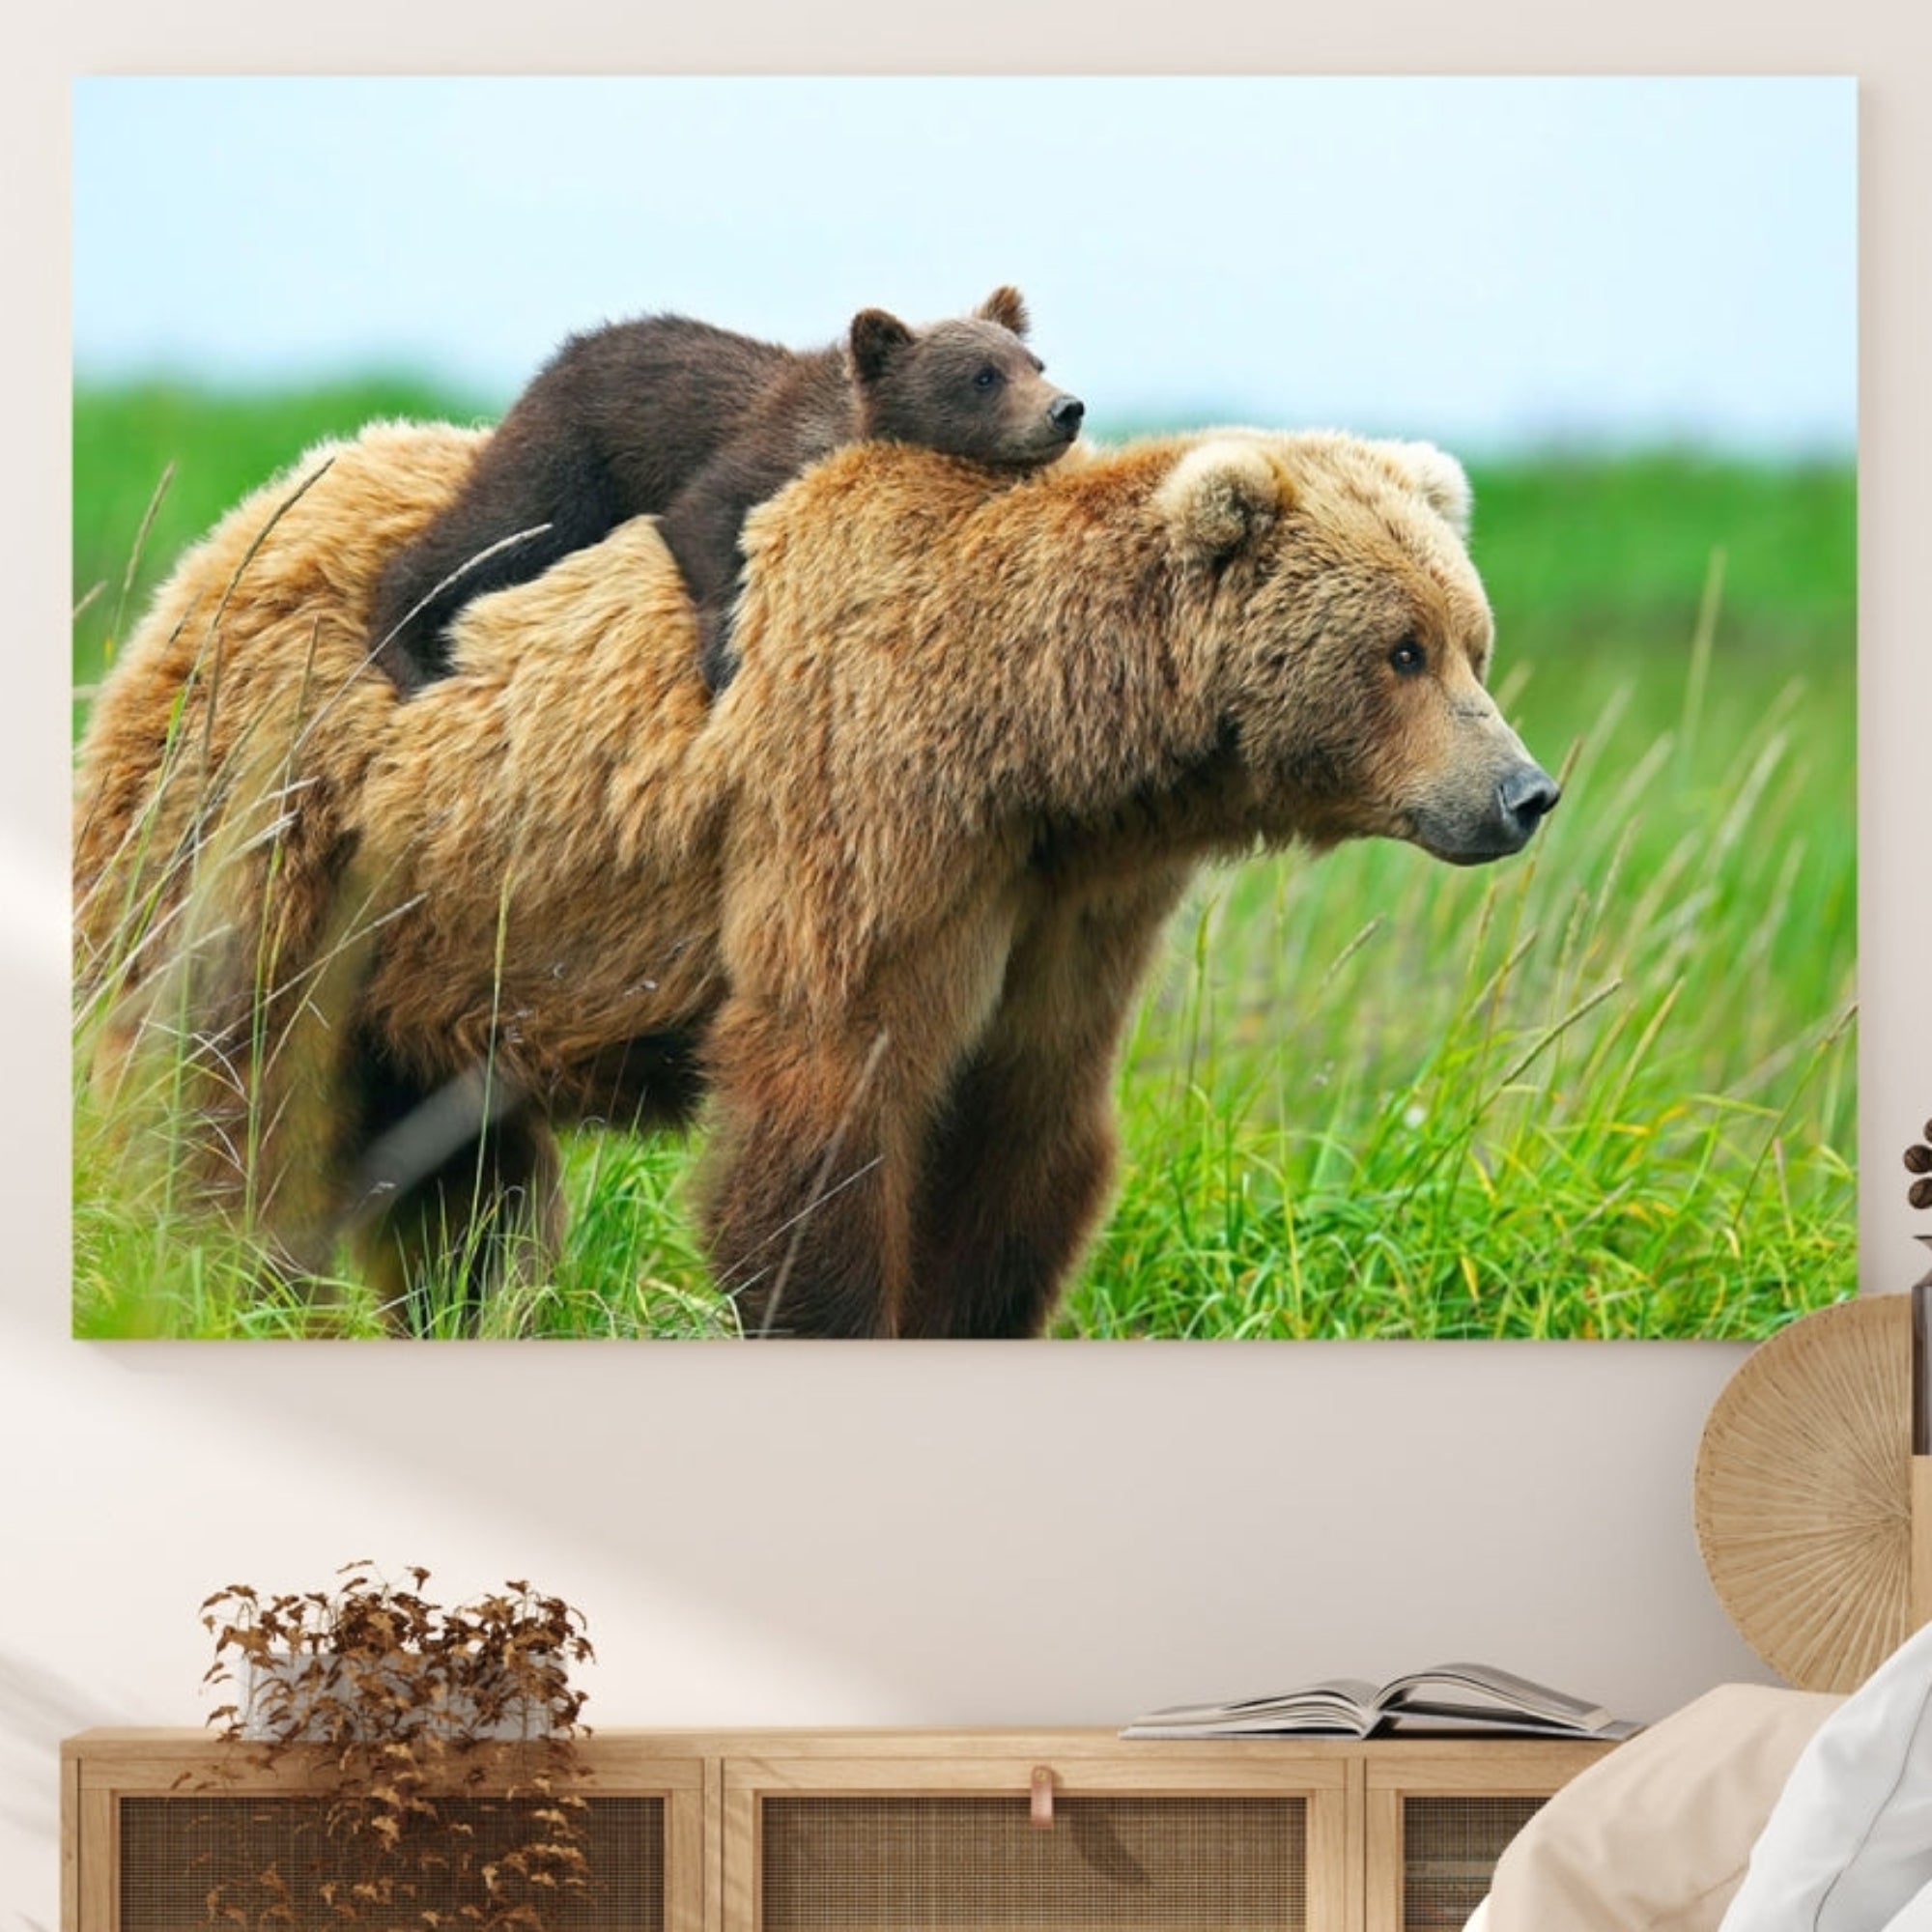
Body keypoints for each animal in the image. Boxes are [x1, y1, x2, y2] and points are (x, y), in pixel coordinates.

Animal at [73, 419, 1559, 1339]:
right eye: (1402, 649)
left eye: (1472, 637)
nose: (1523, 793)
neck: (1039, 745)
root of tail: (227, 534)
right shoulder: (867, 810)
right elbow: (829, 1095)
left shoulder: (1065, 903)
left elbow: (1025, 1127)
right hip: (270, 820)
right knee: (215, 1082)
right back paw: (206, 1279)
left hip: (437, 943)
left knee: (459, 1183)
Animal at [364, 286, 1084, 697]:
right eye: (983, 376)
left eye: (1035, 362)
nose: (1066, 409)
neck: (842, 425)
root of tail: (559, 357)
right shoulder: (756, 454)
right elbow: (704, 519)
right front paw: (722, 659)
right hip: (572, 454)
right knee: (496, 530)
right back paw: (408, 651)